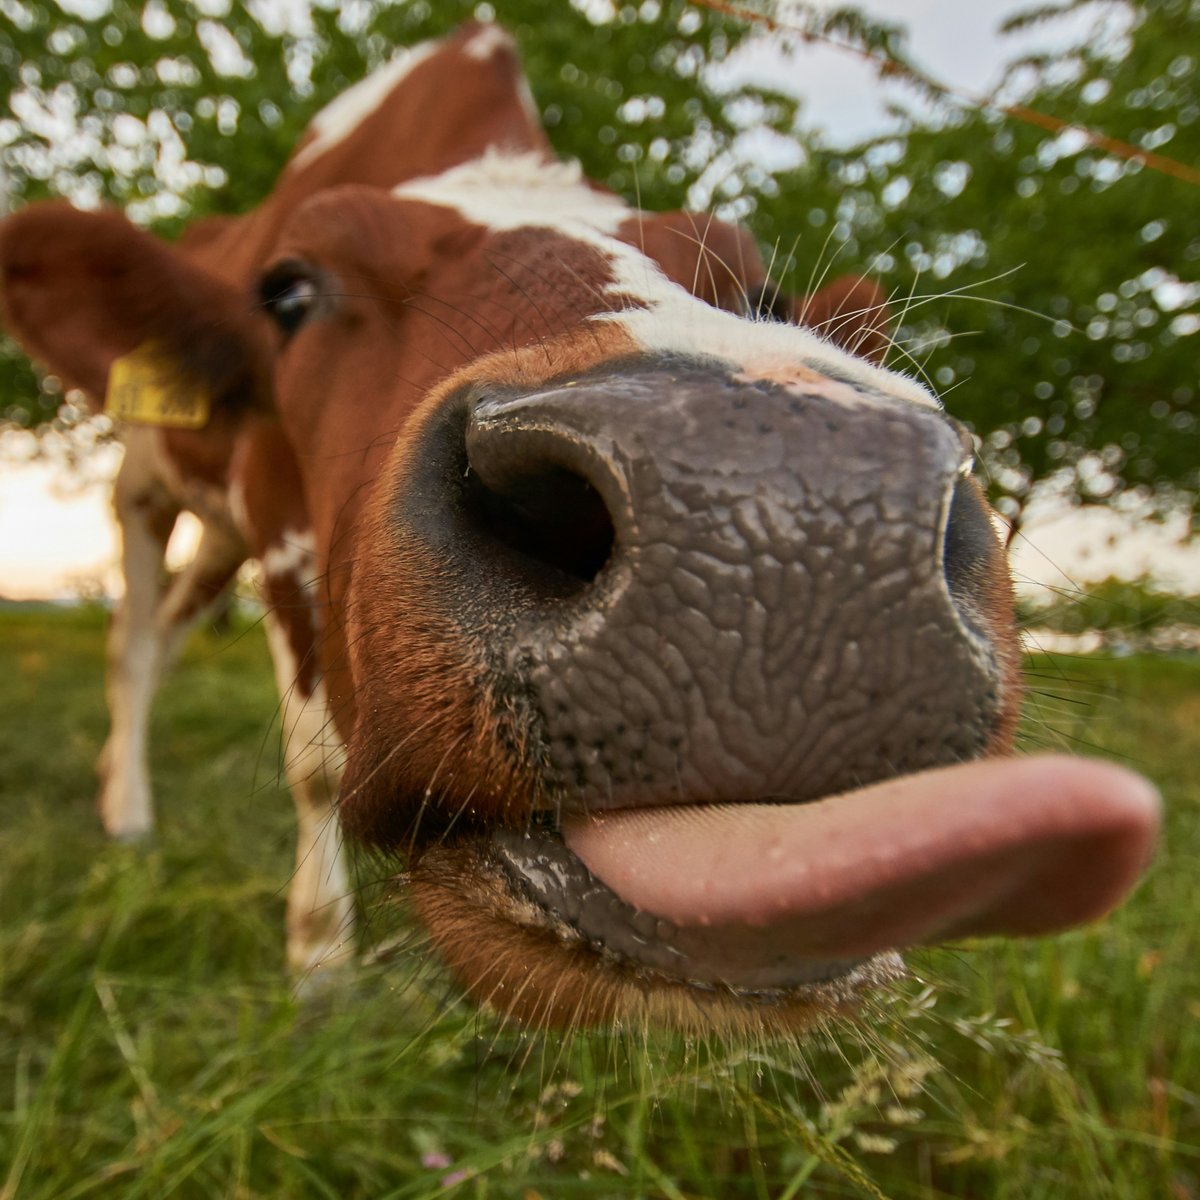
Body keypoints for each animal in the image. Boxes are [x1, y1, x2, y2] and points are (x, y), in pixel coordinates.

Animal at [0, 23, 1158, 1034]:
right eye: (288, 291)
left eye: (763, 291)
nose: (786, 519)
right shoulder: (278, 514)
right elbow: (317, 764)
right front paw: (320, 970)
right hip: (147, 487)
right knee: (134, 640)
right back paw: (129, 812)